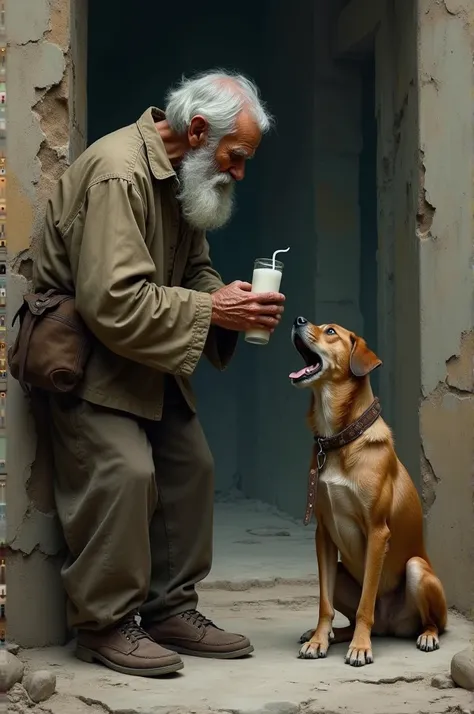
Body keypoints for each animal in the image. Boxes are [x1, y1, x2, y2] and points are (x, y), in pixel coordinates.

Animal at [288, 314, 448, 664]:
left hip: (417, 571)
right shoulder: (323, 533)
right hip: (339, 570)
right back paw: (331, 635)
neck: (339, 439)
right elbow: (324, 604)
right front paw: (319, 639)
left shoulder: (377, 532)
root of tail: (389, 627)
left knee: (432, 621)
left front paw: (360, 648)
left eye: (330, 331)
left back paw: (424, 636)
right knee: (345, 615)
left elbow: (366, 604)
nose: (298, 319)